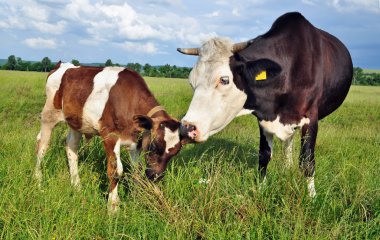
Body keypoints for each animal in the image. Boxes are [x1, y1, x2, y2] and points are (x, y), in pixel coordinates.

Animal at [36, 62, 184, 210]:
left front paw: (136, 199)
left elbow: (136, 170)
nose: (155, 176)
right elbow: (116, 170)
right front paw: (113, 206)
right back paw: (38, 181)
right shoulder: (110, 136)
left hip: (76, 123)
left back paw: (76, 185)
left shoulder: (136, 143)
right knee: (42, 145)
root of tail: (62, 65)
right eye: (154, 146)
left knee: (71, 147)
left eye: (174, 154)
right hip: (48, 115)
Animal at [178, 11, 354, 197]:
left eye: (224, 79)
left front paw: (312, 197)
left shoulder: (310, 118)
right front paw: (261, 189)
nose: (186, 127)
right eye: (191, 82)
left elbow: (307, 160)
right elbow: (264, 156)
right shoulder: (264, 119)